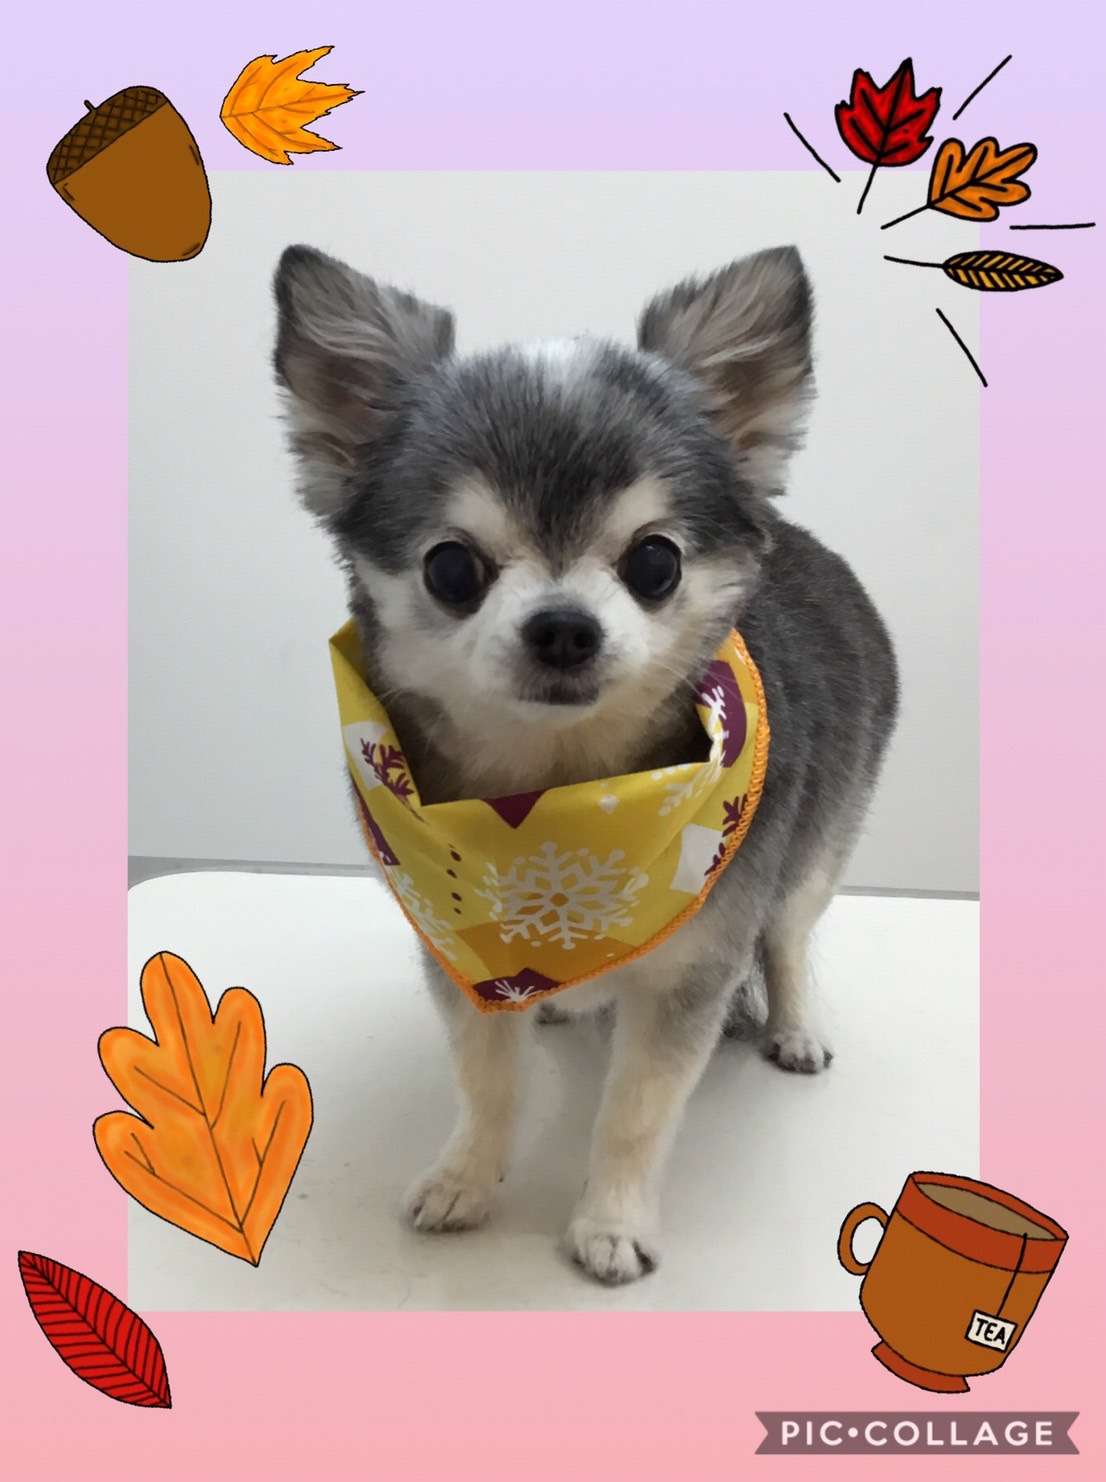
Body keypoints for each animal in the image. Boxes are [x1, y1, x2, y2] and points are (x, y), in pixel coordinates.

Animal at [273, 241, 899, 1284]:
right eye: (452, 569)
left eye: (655, 563)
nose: (563, 626)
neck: (559, 799)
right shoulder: (466, 959)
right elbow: (487, 1083)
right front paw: (467, 1179)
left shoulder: (690, 974)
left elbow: (636, 1114)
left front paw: (611, 1223)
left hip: (819, 845)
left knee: (789, 938)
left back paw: (793, 1026)